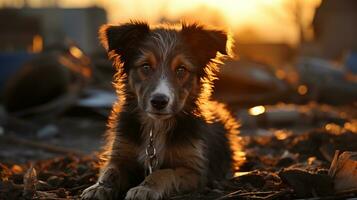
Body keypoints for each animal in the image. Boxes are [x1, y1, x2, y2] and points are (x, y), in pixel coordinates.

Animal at [80, 21, 242, 199]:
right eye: (146, 67)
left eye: (181, 69)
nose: (159, 101)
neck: (156, 126)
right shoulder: (120, 154)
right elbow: (110, 171)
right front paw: (99, 187)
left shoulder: (195, 170)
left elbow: (164, 173)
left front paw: (145, 189)